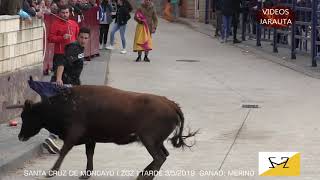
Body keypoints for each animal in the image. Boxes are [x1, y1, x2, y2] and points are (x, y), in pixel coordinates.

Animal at [9, 85, 198, 179]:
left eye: (26, 116)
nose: (20, 136)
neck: (65, 104)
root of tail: (171, 104)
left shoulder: (74, 134)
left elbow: (64, 151)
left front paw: (52, 172)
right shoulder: (90, 138)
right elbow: (89, 153)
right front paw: (86, 174)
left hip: (149, 140)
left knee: (159, 157)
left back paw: (143, 177)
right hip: (156, 141)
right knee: (164, 155)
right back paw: (144, 175)